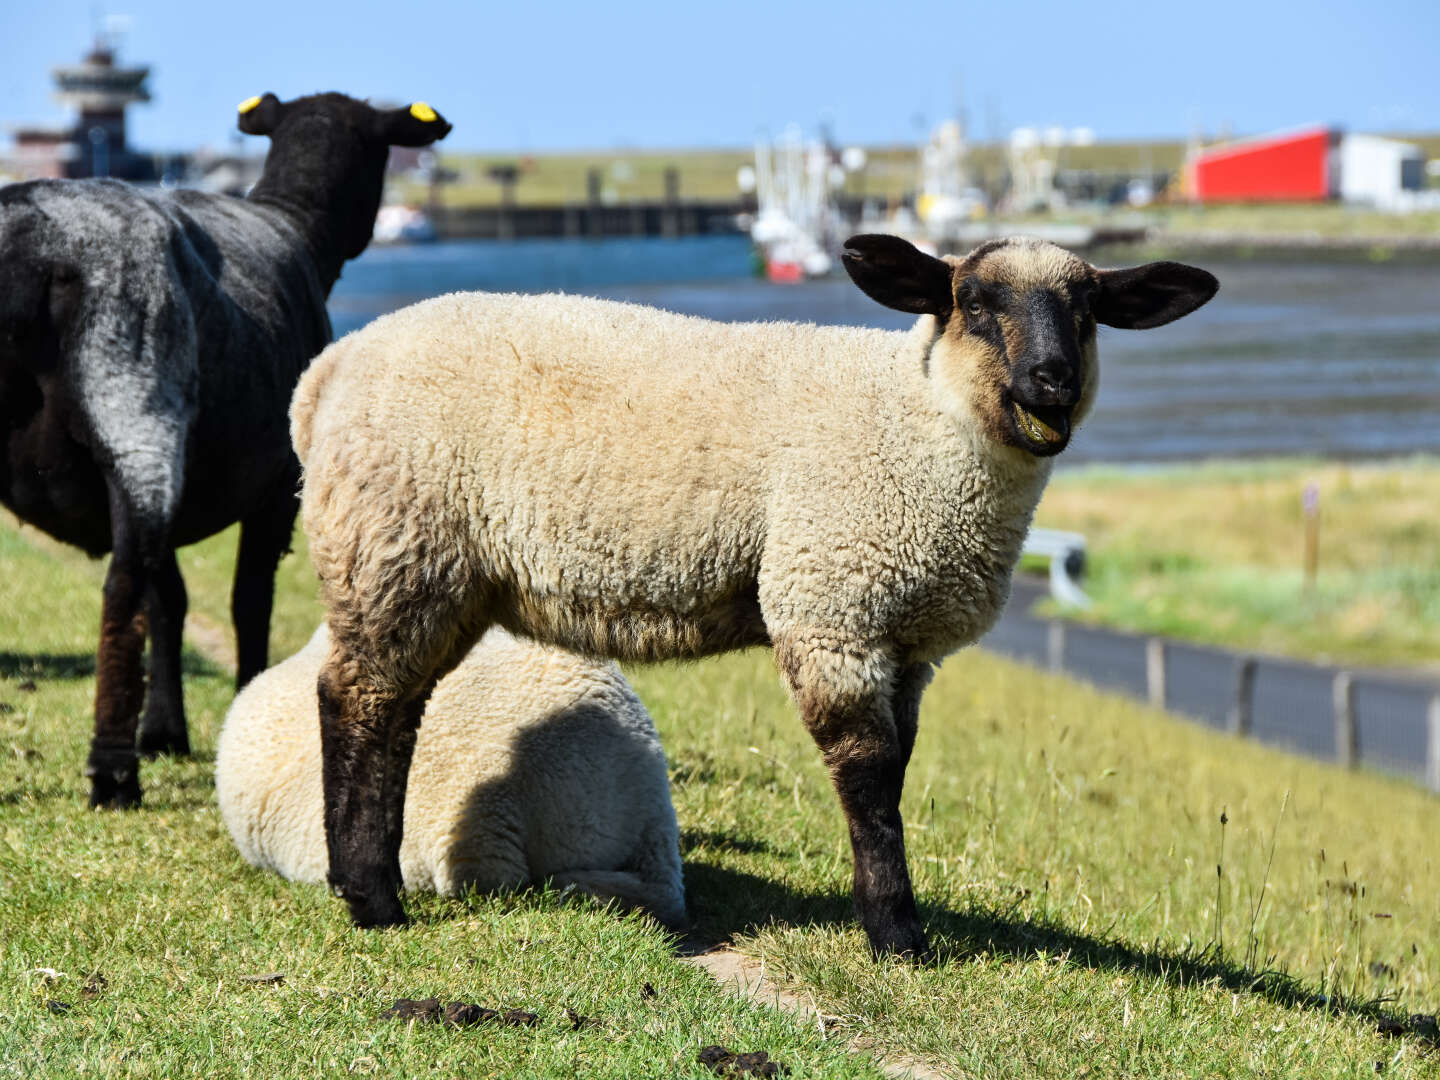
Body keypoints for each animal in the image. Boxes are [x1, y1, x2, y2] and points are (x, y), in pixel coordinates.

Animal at [0, 92, 449, 806]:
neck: (297, 225)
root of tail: (27, 254)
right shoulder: (278, 485)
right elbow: (246, 598)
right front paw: (242, 701)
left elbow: (172, 599)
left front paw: (165, 732)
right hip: (133, 389)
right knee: (123, 585)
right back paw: (113, 773)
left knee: (141, 579)